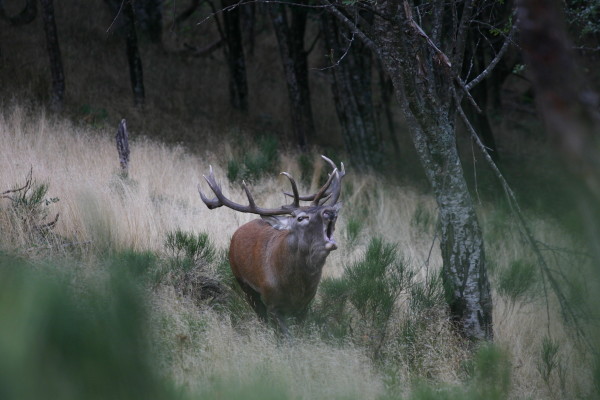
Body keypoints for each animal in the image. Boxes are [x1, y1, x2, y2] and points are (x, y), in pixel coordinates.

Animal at [199, 156, 344, 334]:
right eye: (301, 218)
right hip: (244, 284)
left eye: (324, 207)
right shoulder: (272, 303)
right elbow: (286, 335)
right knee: (260, 316)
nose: (330, 212)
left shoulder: (305, 305)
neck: (296, 286)